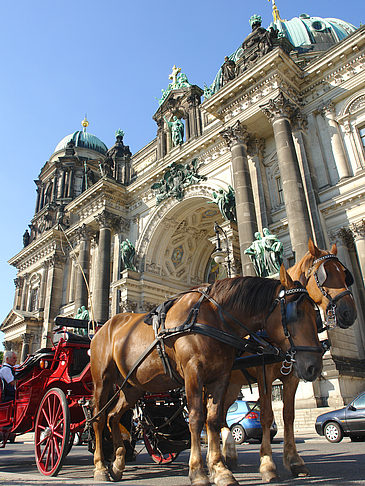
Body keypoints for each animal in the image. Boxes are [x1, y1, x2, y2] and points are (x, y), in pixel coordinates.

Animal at [90, 266, 322, 486]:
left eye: (316, 314)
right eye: (296, 313)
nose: (315, 366)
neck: (214, 319)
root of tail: (105, 325)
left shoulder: (220, 377)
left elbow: (213, 419)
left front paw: (220, 470)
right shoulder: (195, 373)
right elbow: (196, 418)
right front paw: (199, 472)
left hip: (133, 386)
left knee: (113, 416)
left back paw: (118, 463)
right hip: (102, 381)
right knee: (99, 418)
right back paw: (100, 467)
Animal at [219, 239, 356, 482]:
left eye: (345, 274)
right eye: (324, 275)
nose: (348, 312)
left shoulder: (293, 375)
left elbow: (288, 415)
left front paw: (295, 462)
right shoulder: (264, 375)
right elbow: (266, 415)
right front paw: (267, 465)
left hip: (232, 385)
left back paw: (229, 455)